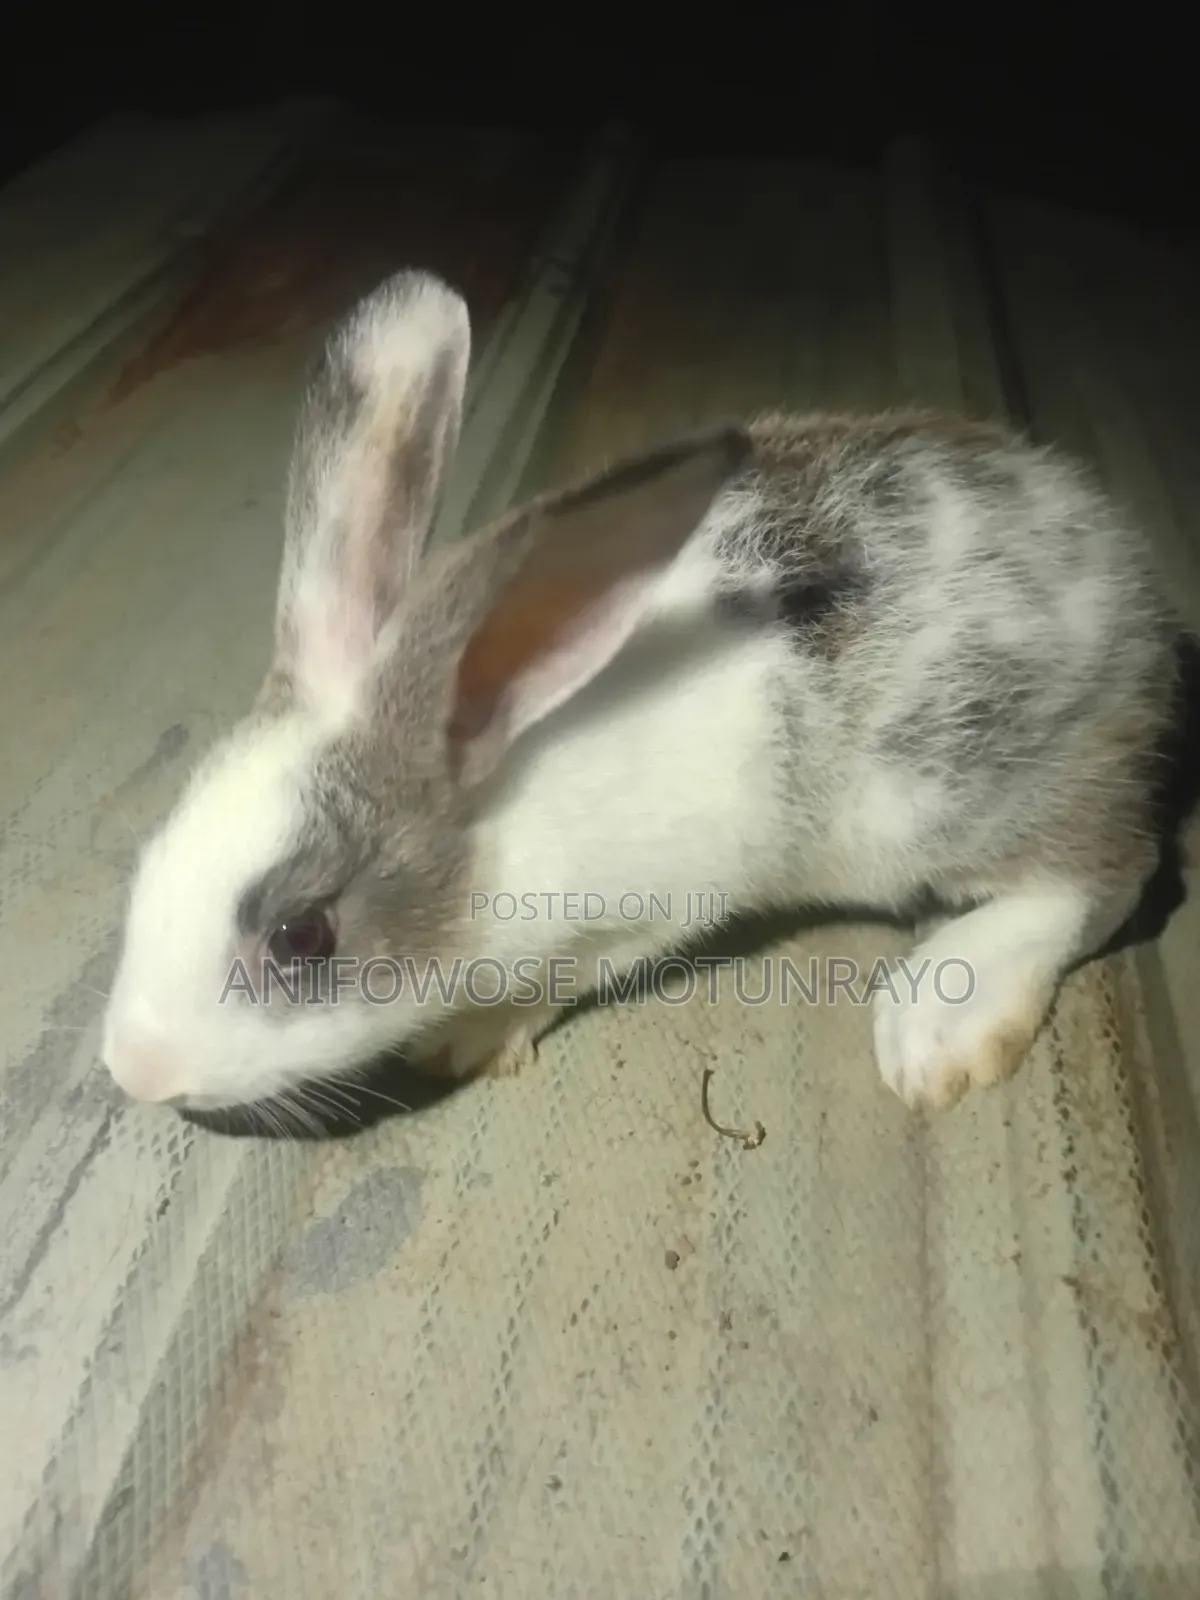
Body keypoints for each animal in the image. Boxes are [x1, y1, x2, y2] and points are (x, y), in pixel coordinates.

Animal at [99, 267, 1181, 1118]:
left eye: (302, 934)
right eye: (148, 859)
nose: (136, 1069)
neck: (490, 802)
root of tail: (1129, 586)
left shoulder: (638, 913)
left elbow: (562, 975)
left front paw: (466, 1035)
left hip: (963, 800)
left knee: (1103, 877)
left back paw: (938, 1025)